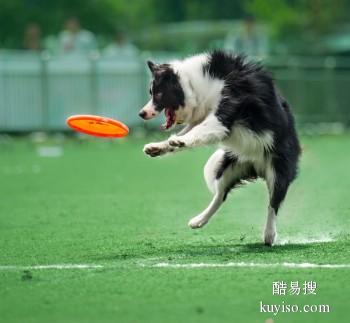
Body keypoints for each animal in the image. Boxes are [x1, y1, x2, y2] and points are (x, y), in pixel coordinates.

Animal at [139, 50, 300, 247]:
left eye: (159, 93)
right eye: (151, 92)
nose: (141, 113)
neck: (197, 84)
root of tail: (256, 166)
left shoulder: (226, 109)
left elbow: (199, 129)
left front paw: (179, 141)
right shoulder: (204, 117)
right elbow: (187, 132)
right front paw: (159, 146)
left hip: (278, 169)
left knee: (273, 204)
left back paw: (269, 235)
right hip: (228, 168)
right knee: (221, 195)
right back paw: (199, 220)